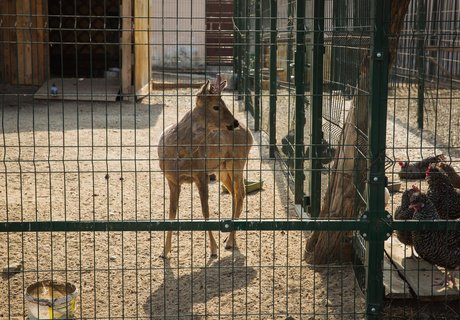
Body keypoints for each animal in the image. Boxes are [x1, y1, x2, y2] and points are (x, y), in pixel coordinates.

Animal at [157, 75, 252, 258]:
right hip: (221, 169)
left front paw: (213, 250)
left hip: (237, 162)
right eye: (216, 106)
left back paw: (229, 242)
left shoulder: (201, 173)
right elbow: (171, 213)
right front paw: (165, 251)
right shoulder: (171, 179)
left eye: (224, 103)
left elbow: (205, 211)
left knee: (241, 194)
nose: (235, 122)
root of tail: (249, 132)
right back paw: (229, 238)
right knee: (234, 194)